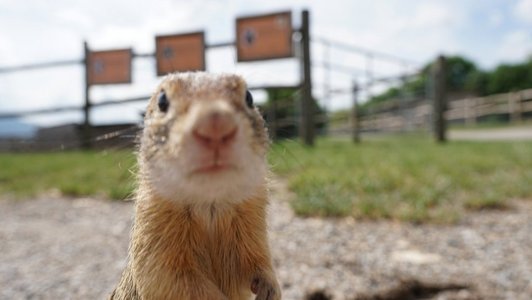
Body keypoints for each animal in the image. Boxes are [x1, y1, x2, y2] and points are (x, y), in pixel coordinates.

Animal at [110, 72, 280, 300]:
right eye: (162, 100)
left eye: (249, 97)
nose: (216, 124)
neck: (210, 203)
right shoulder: (156, 247)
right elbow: (179, 283)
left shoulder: (253, 230)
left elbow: (259, 263)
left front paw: (270, 288)